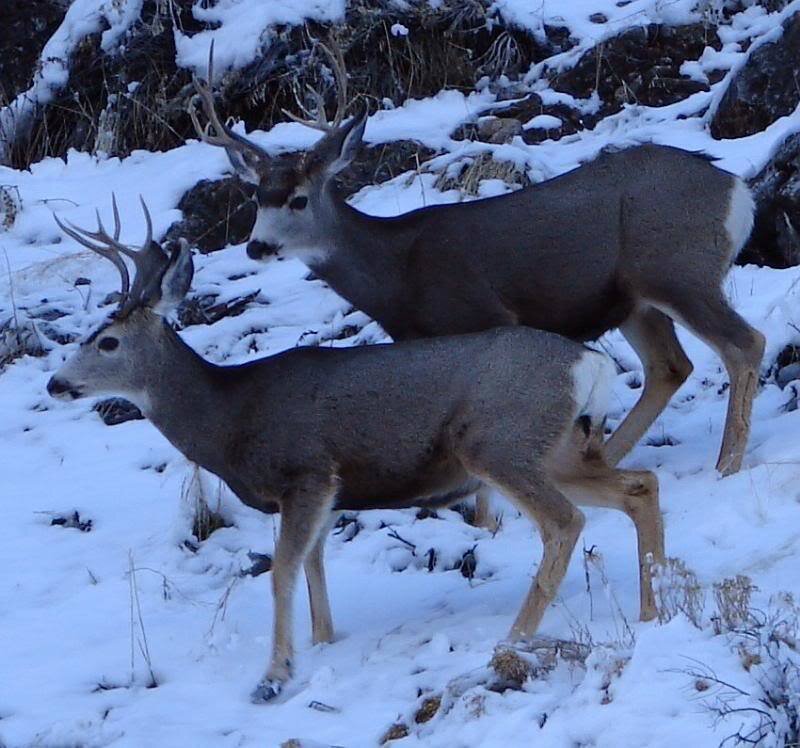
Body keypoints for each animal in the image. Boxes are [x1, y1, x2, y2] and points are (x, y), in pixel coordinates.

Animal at [48, 199, 664, 702]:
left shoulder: (307, 472)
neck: (229, 418)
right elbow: (314, 563)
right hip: (561, 449)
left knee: (565, 521)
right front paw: (322, 640)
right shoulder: (332, 492)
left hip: (499, 441)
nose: (56, 384)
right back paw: (653, 608)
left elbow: (283, 568)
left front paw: (274, 676)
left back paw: (514, 638)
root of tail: (590, 364)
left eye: (107, 341)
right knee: (640, 485)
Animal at [189, 43, 766, 497]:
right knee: (670, 367)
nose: (257, 246)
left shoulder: (484, 314)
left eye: (299, 199)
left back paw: (727, 465)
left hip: (678, 269)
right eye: (257, 198)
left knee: (744, 343)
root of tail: (737, 192)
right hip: (635, 300)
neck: (396, 271)